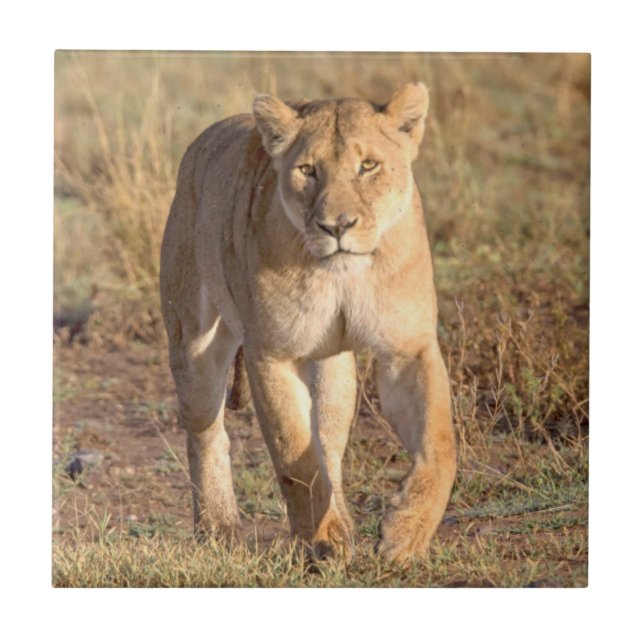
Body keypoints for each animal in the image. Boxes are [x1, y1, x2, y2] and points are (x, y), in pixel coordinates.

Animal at [159, 83, 456, 563]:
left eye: (368, 165)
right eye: (307, 170)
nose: (337, 226)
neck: (343, 274)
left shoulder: (408, 348)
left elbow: (440, 443)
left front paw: (405, 535)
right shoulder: (271, 354)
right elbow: (292, 453)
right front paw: (322, 540)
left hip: (334, 366)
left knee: (328, 443)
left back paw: (346, 522)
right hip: (193, 347)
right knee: (207, 432)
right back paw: (219, 528)